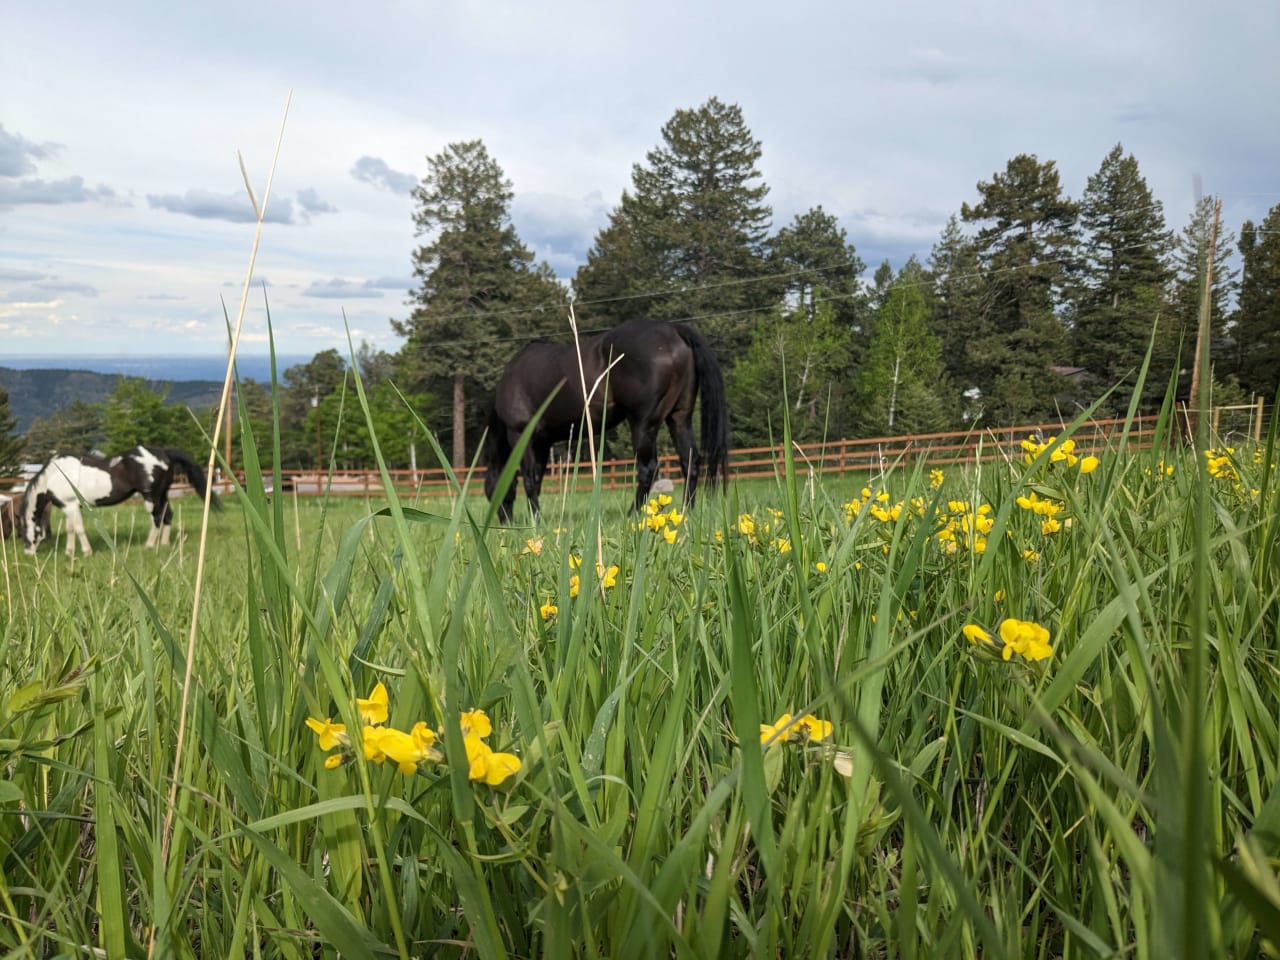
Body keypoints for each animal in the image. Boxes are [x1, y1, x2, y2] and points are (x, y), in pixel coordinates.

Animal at [483, 320, 732, 522]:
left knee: (647, 468)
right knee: (690, 462)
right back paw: (686, 512)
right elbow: (536, 479)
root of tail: (673, 330)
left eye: (490, 492)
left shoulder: (520, 435)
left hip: (643, 424)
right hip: (679, 419)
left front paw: (535, 521)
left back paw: (633, 514)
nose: (505, 522)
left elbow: (528, 479)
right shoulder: (543, 443)